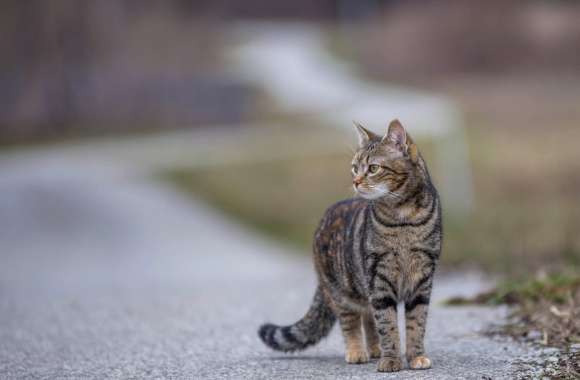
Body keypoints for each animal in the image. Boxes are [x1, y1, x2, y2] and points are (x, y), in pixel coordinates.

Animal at [256, 119, 442, 372]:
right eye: (355, 168)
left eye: (373, 168)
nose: (355, 181)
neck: (403, 217)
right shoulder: (378, 279)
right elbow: (388, 324)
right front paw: (391, 359)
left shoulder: (422, 278)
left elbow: (416, 322)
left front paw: (416, 356)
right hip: (341, 291)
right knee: (352, 321)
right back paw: (357, 351)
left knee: (368, 317)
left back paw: (374, 348)